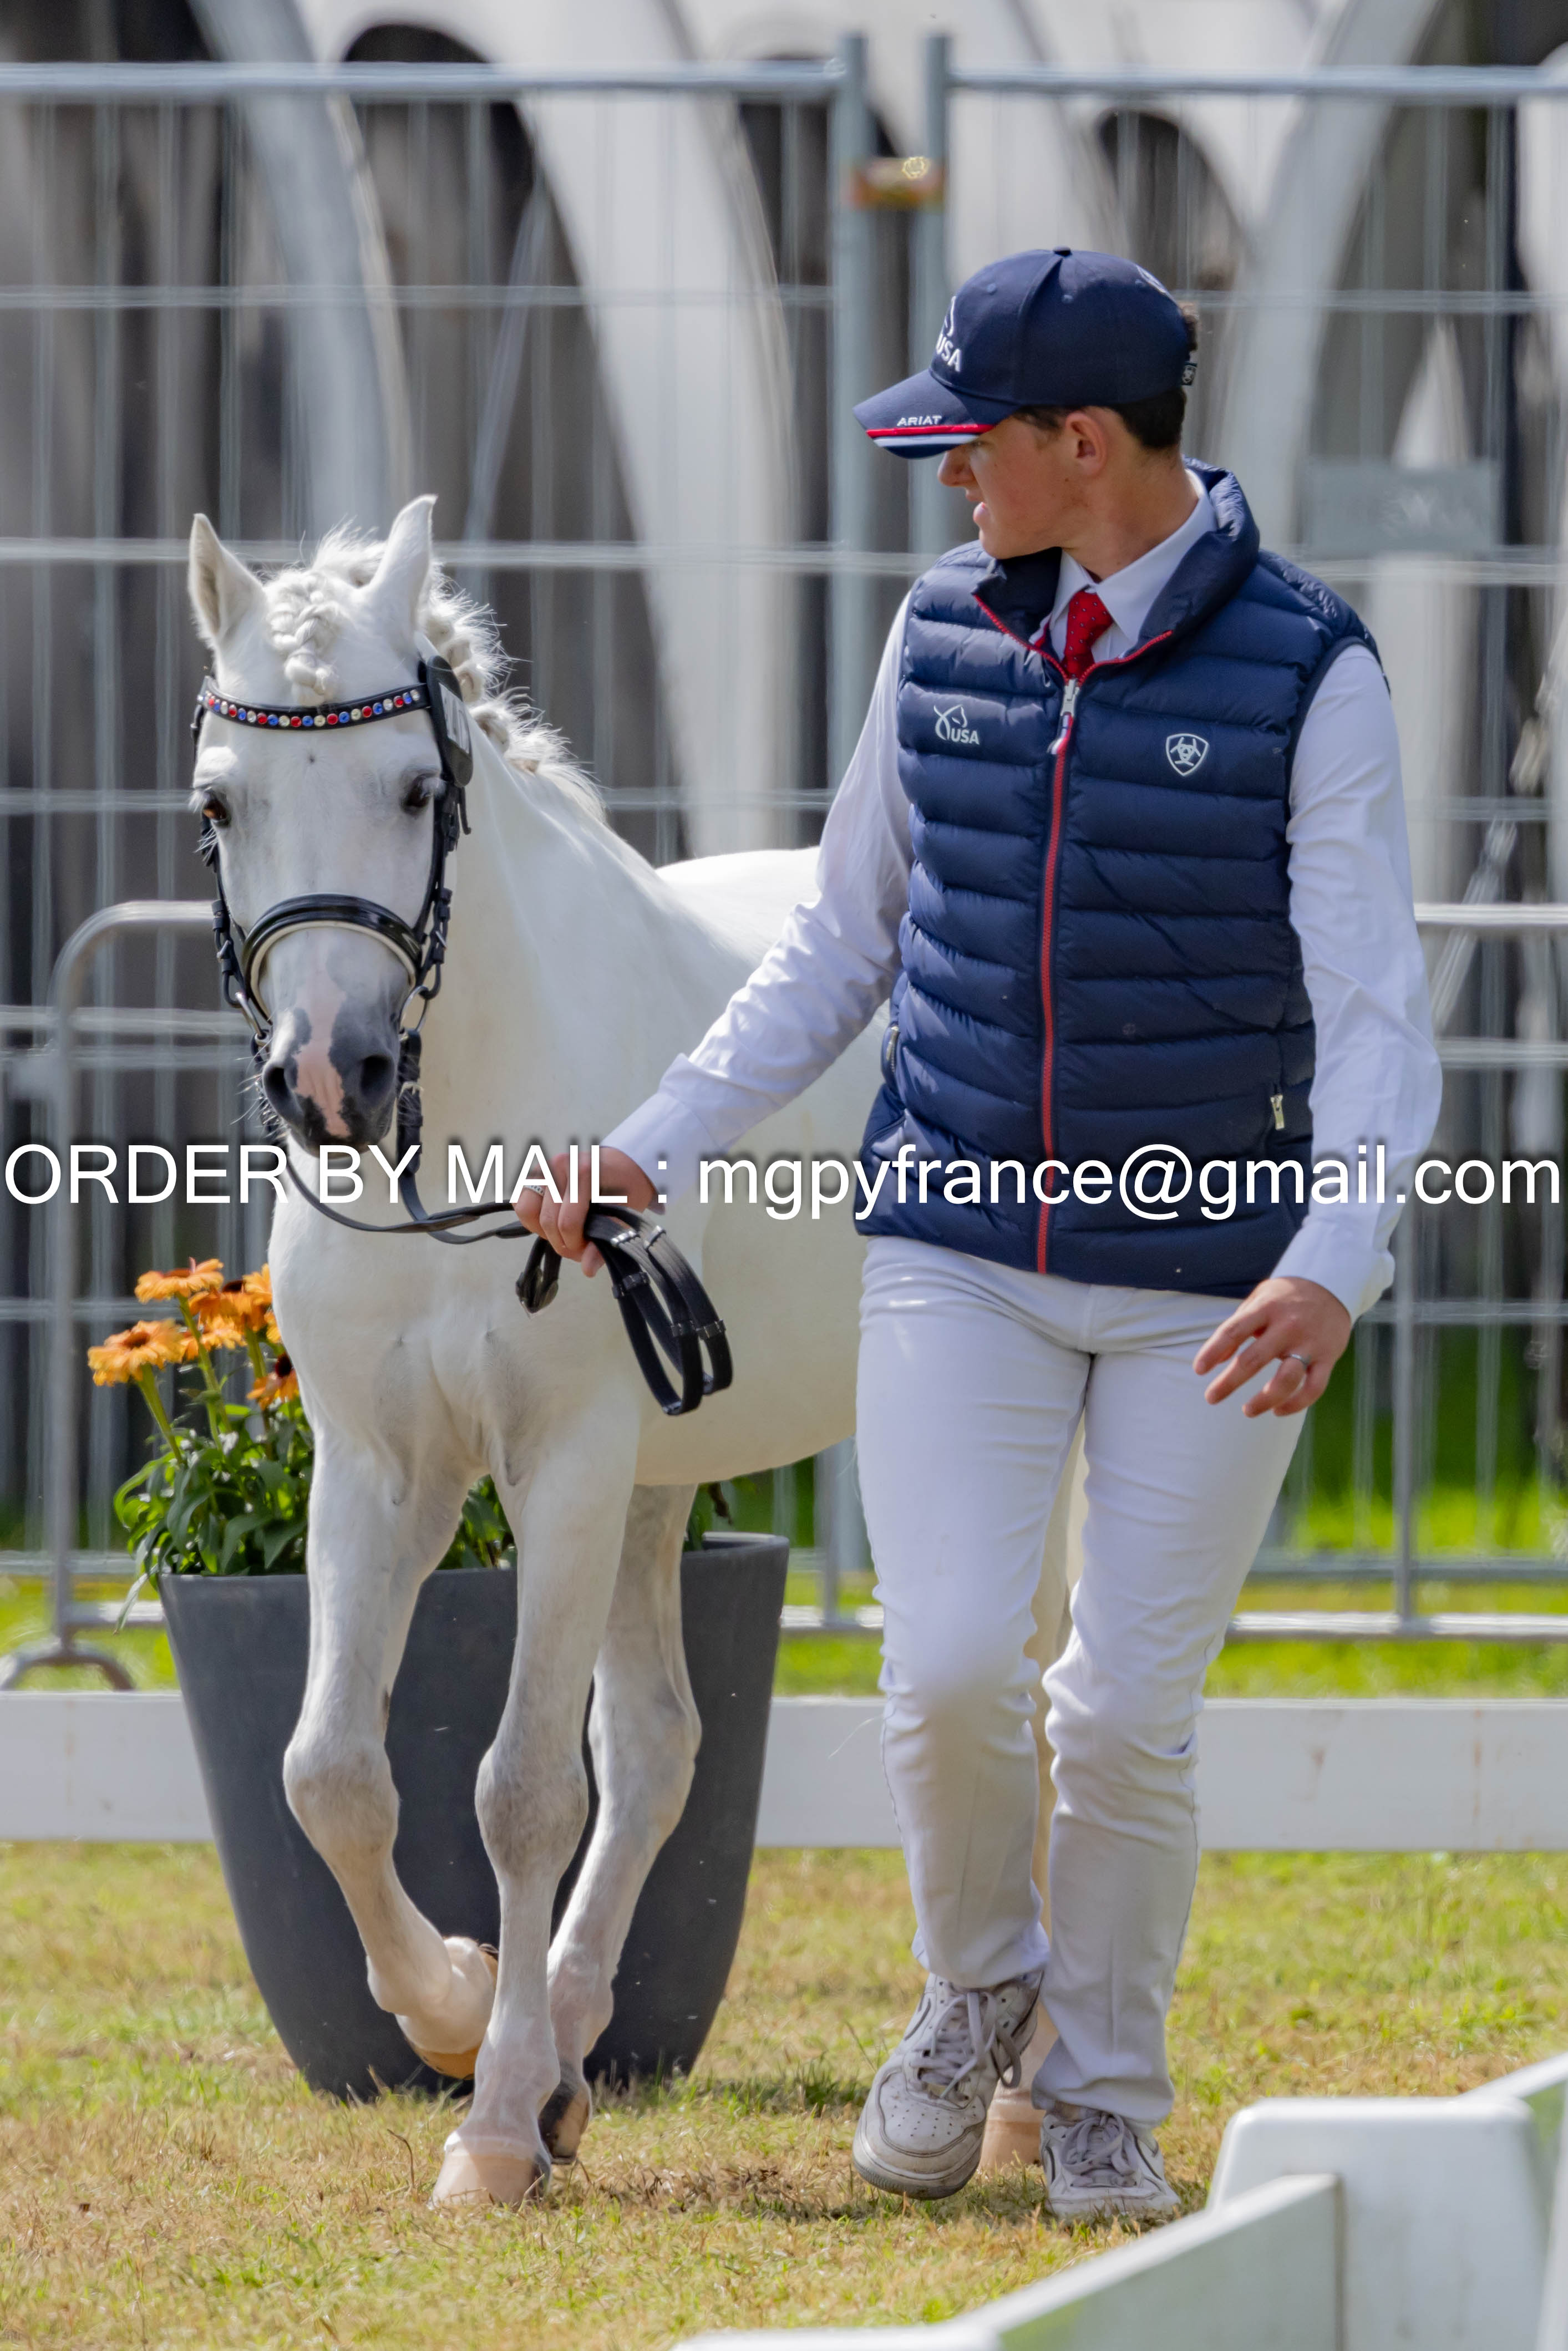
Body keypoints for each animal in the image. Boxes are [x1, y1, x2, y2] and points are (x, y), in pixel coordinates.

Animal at [186, 495, 878, 2206]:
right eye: (223, 804)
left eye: (416, 788)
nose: (334, 1077)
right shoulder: (379, 1471)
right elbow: (330, 1771)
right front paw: (452, 2009)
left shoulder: (558, 1467)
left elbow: (516, 1789)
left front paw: (492, 2125)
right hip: (653, 1485)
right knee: (658, 1748)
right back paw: (565, 2041)